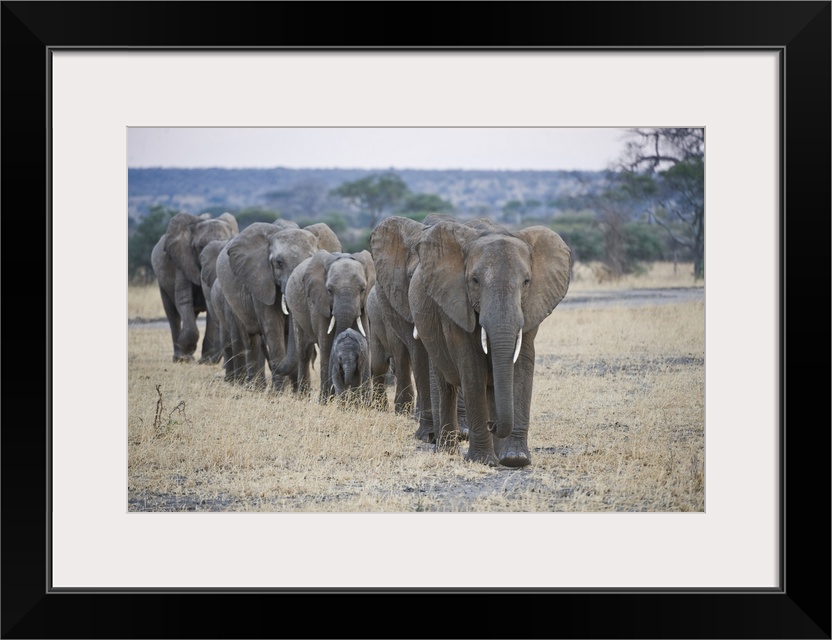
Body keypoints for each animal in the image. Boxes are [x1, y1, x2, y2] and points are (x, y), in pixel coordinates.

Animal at [150, 212, 237, 362]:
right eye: (200, 247)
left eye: (226, 245)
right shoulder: (182, 261)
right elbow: (184, 299)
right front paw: (187, 354)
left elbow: (210, 307)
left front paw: (207, 362)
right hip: (162, 282)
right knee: (172, 314)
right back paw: (180, 358)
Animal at [218, 219, 344, 390]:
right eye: (279, 263)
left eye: (310, 260)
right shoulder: (261, 282)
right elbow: (272, 326)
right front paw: (278, 392)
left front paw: (295, 391)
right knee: (249, 338)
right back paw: (255, 387)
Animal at [278, 249, 376, 402]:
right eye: (329, 290)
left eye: (362, 289)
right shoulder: (318, 302)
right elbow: (327, 344)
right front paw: (325, 401)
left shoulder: (364, 306)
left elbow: (365, 338)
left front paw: (365, 403)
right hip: (297, 313)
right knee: (304, 353)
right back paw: (303, 397)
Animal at [408, 218, 572, 468]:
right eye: (475, 281)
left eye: (527, 281)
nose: (492, 425)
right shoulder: (455, 304)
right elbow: (472, 365)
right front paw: (483, 461)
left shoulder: (531, 307)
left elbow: (521, 364)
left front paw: (515, 459)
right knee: (446, 384)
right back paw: (447, 450)